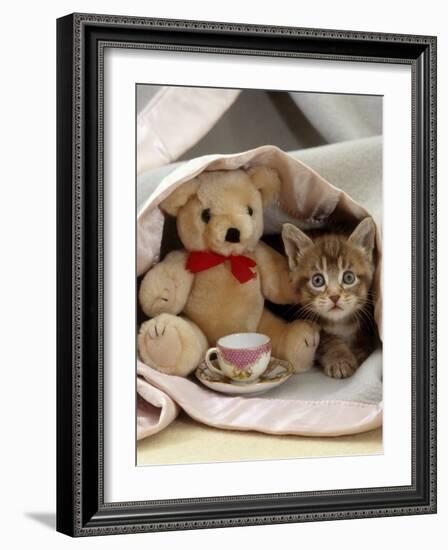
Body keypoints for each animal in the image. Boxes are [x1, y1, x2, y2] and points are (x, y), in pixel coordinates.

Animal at [284, 218, 378, 382]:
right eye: (317, 280)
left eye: (348, 277)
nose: (334, 296)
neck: (340, 323)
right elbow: (327, 340)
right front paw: (340, 360)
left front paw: (359, 351)